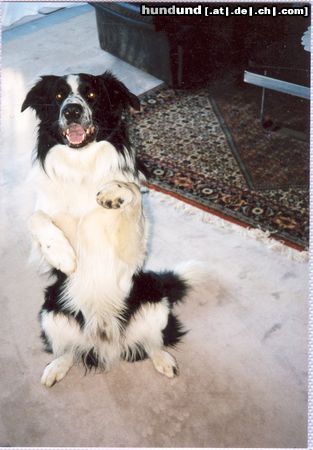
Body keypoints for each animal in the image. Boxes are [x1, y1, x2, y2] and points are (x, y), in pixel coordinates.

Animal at [22, 73, 202, 386]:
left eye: (92, 94)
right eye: (58, 96)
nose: (72, 111)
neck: (81, 167)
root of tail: (107, 341)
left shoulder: (131, 250)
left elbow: (132, 192)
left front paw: (113, 193)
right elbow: (37, 218)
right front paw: (63, 256)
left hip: (154, 300)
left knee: (153, 342)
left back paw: (165, 362)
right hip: (50, 310)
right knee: (67, 350)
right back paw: (55, 368)